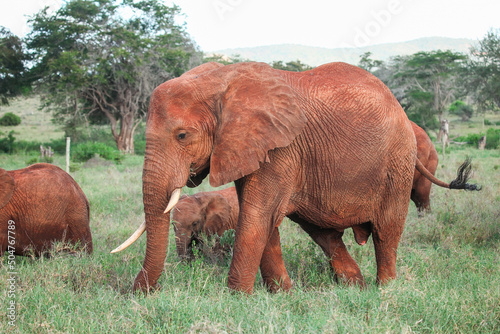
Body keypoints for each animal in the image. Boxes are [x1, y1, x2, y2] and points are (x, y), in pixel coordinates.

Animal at [115, 61, 478, 294]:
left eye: (182, 136)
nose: (136, 294)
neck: (223, 78)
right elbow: (263, 218)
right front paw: (282, 295)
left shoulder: (281, 147)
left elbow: (257, 216)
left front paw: (235, 298)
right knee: (324, 234)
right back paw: (354, 287)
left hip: (398, 162)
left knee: (386, 231)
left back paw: (384, 290)